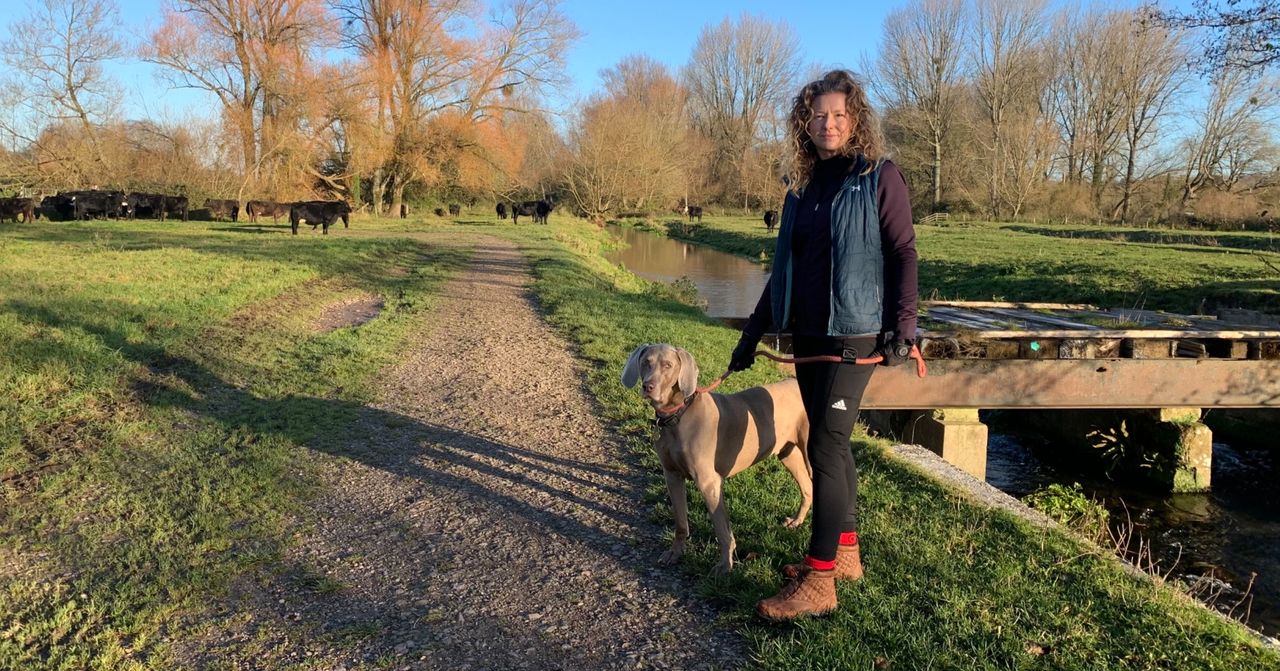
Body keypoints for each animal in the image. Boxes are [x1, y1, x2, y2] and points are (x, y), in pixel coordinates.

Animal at [622, 343, 808, 573]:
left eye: (668, 365)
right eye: (646, 362)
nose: (648, 386)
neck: (678, 416)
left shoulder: (709, 482)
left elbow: (722, 530)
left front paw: (725, 566)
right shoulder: (672, 476)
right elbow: (681, 522)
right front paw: (675, 553)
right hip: (788, 453)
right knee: (808, 488)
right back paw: (796, 521)